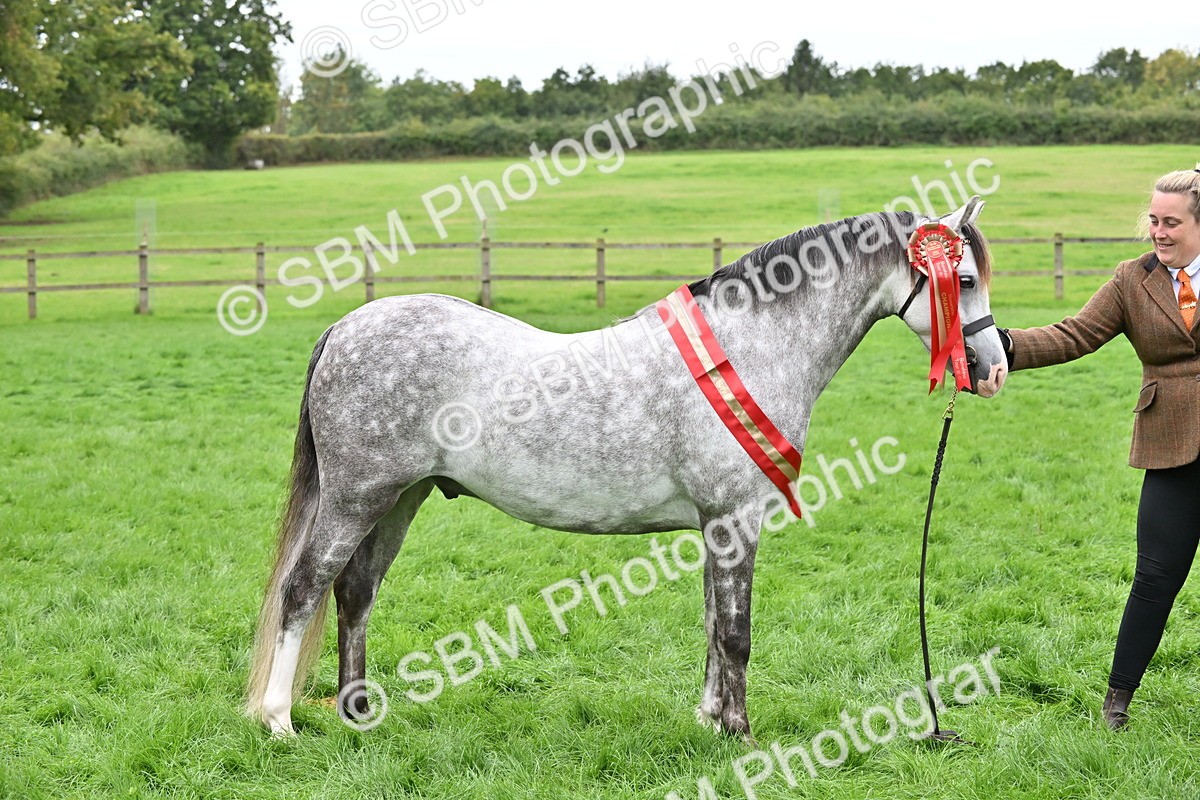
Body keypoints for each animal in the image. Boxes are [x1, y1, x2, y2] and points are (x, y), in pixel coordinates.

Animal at [247, 196, 1008, 739]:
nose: (994, 366)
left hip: (400, 498)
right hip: (356, 496)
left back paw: (358, 713)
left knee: (355, 593)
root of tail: (345, 328)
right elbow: (735, 633)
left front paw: (709, 719)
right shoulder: (735, 518)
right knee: (304, 587)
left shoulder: (715, 526)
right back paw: (279, 720)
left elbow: (712, 624)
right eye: (963, 279)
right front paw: (740, 733)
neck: (747, 347)